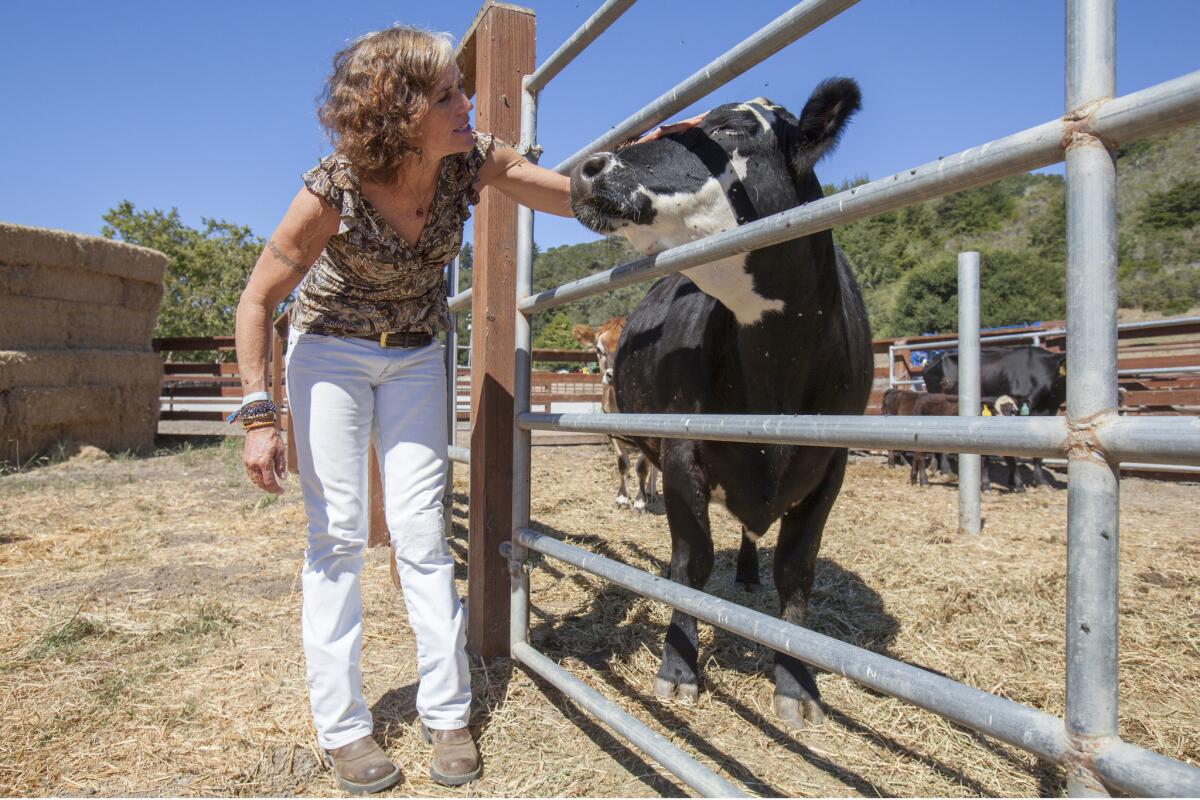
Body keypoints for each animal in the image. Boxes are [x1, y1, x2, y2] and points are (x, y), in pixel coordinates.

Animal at [568, 319, 657, 513]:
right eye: (599, 349)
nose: (612, 375)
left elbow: (642, 467)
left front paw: (640, 501)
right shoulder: (611, 432)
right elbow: (623, 463)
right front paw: (622, 498)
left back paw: (651, 491)